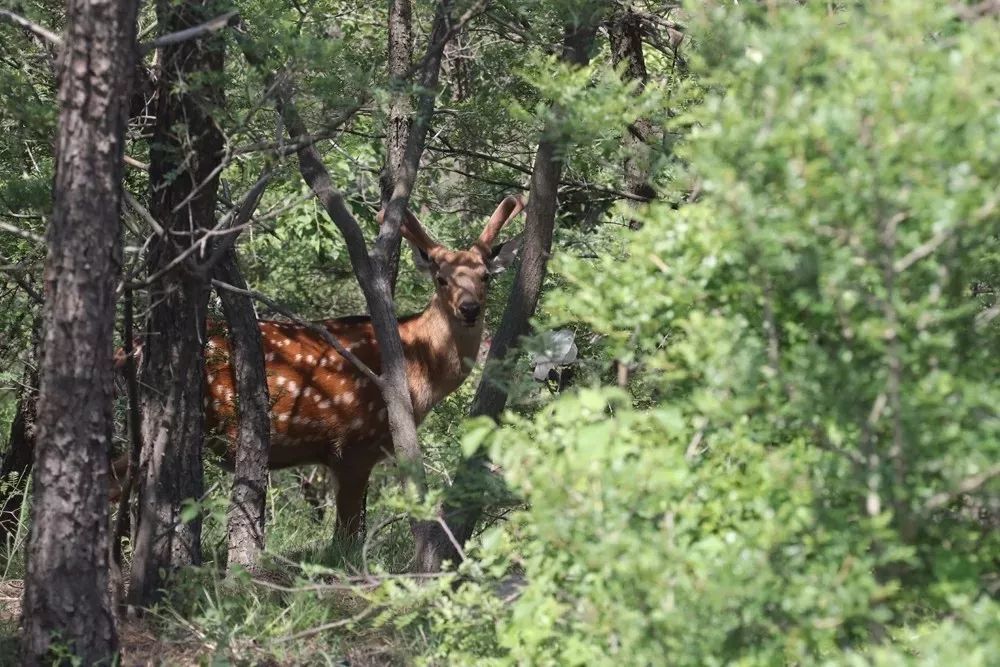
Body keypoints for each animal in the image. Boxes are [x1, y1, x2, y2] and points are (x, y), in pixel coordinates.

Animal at [113, 196, 528, 540]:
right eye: (442, 279)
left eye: (485, 276)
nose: (470, 308)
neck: (415, 366)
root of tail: (125, 351)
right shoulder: (354, 444)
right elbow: (344, 540)